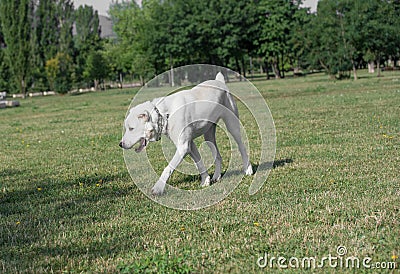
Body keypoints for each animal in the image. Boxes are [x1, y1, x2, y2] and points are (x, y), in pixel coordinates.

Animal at [119, 73, 253, 195]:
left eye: (131, 128)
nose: (120, 144)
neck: (164, 114)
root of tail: (219, 81)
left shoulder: (183, 147)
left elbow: (168, 168)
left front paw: (158, 188)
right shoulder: (190, 145)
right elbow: (199, 163)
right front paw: (205, 181)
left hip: (232, 125)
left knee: (242, 147)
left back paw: (248, 170)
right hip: (209, 136)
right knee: (218, 156)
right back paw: (216, 176)